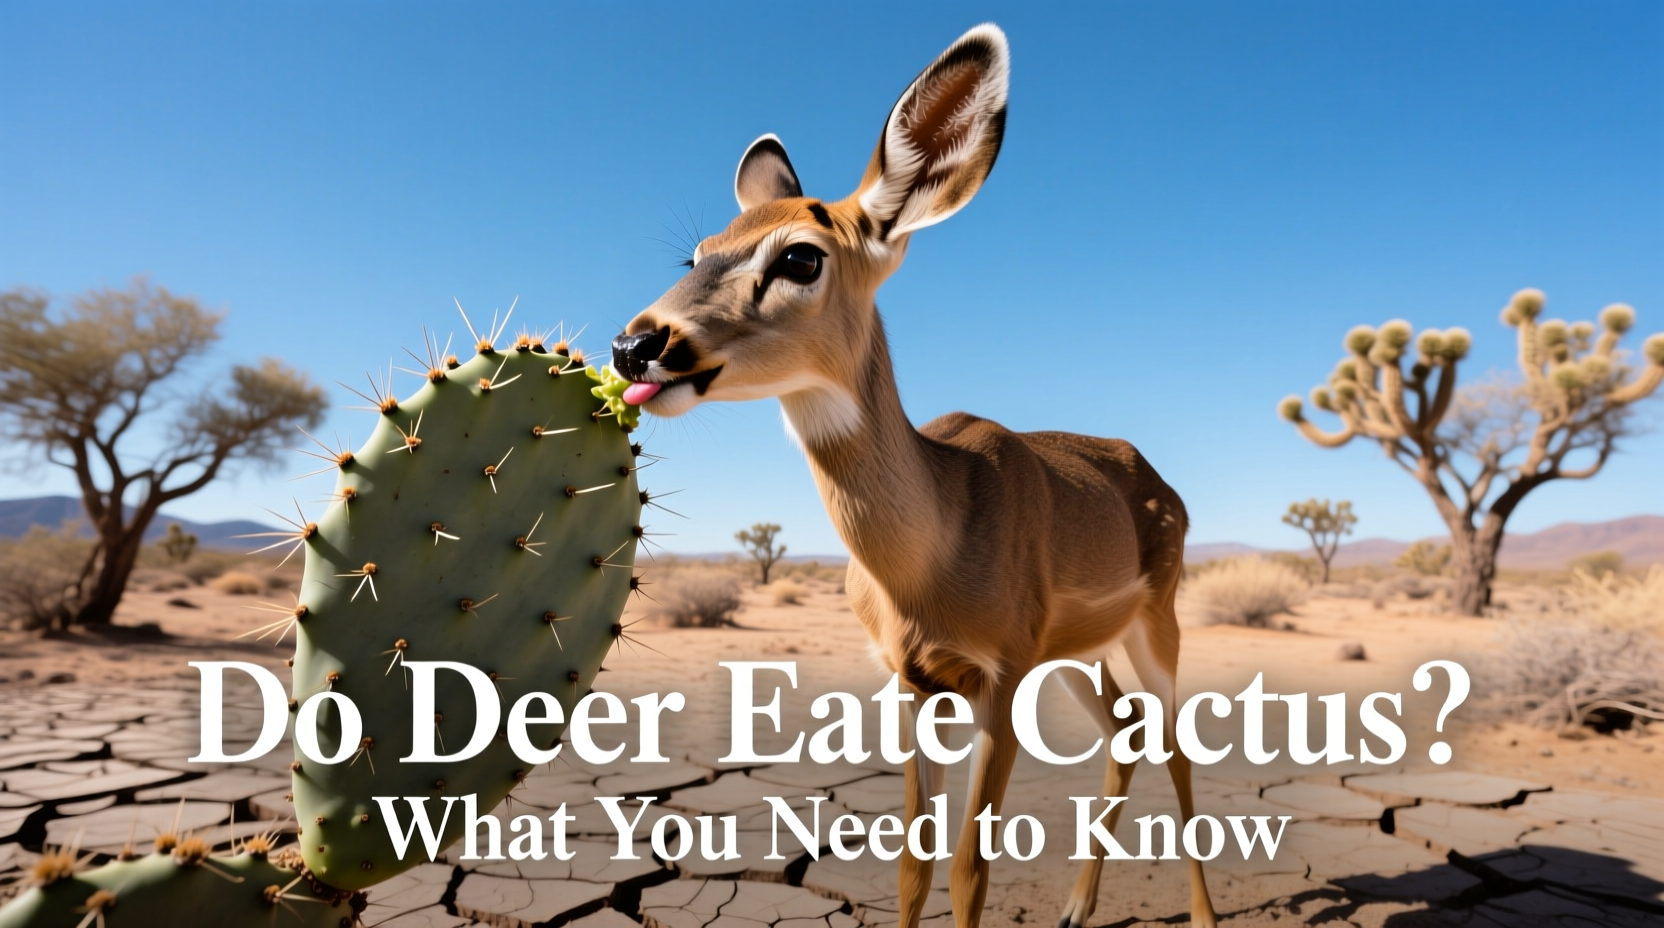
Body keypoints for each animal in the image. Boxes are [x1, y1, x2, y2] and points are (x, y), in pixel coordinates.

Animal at [610, 24, 1218, 928]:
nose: (637, 345)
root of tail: (1152, 475)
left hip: (1154, 629)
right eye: (699, 252)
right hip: (1082, 657)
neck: (934, 540)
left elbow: (970, 868)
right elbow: (912, 863)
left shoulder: (997, 680)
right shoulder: (912, 682)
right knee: (1126, 739)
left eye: (800, 257)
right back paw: (1075, 907)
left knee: (1175, 748)